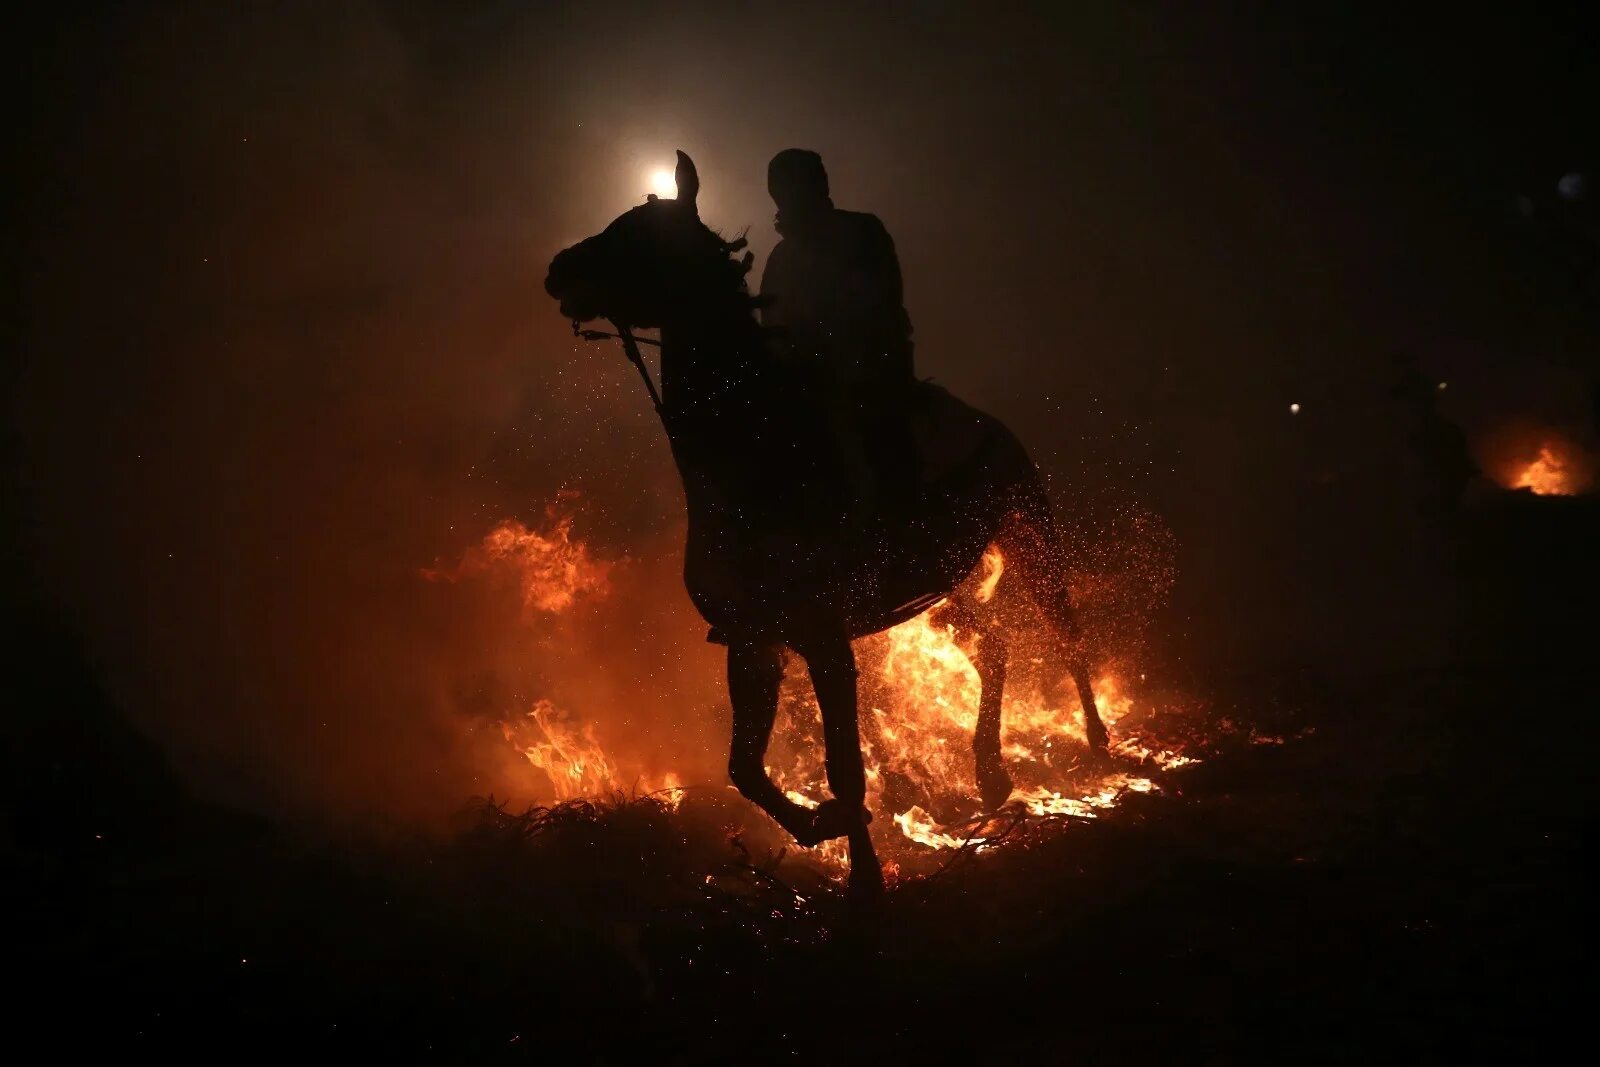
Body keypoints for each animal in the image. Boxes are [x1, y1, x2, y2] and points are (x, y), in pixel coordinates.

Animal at [537, 151, 1100, 902]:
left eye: (639, 234)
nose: (559, 268)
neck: (762, 459)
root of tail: (985, 421)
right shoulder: (755, 641)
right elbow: (744, 767)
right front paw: (817, 824)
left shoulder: (825, 640)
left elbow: (844, 764)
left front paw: (863, 876)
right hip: (945, 587)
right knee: (992, 648)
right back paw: (989, 771)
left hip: (1028, 534)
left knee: (1065, 634)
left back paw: (1096, 739)